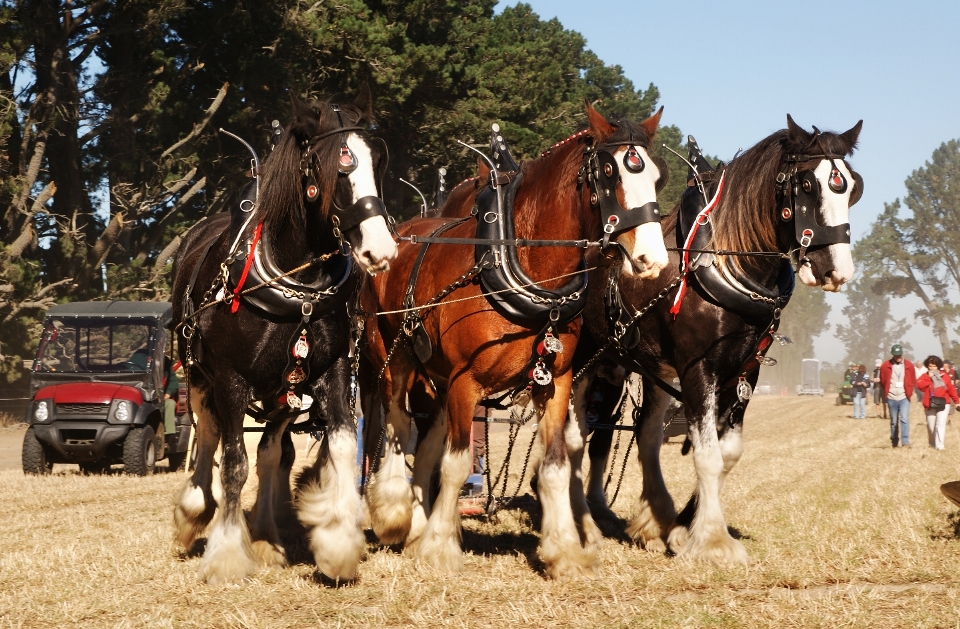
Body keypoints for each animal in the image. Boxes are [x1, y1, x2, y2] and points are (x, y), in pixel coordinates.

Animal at [172, 89, 398, 584]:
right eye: (339, 167)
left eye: (378, 160)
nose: (381, 250)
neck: (297, 279)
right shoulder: (230, 380)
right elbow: (233, 464)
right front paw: (226, 555)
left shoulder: (333, 372)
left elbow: (339, 446)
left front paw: (337, 544)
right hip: (197, 374)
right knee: (210, 438)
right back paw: (194, 512)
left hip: (284, 392)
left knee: (271, 452)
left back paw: (265, 536)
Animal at [360, 104, 668, 580]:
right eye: (608, 172)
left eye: (656, 176)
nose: (654, 259)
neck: (518, 261)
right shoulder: (466, 382)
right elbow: (456, 464)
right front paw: (441, 548)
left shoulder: (555, 382)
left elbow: (556, 465)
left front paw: (565, 551)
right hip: (393, 358)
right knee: (396, 423)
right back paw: (395, 514)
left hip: (437, 379)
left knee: (426, 441)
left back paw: (417, 526)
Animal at [568, 116, 864, 564]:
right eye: (807, 185)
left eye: (851, 187)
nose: (837, 271)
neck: (727, 261)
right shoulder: (698, 369)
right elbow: (706, 454)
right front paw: (711, 541)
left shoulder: (745, 372)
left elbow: (727, 453)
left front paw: (683, 528)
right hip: (587, 359)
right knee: (577, 431)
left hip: (648, 368)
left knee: (645, 435)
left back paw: (654, 521)